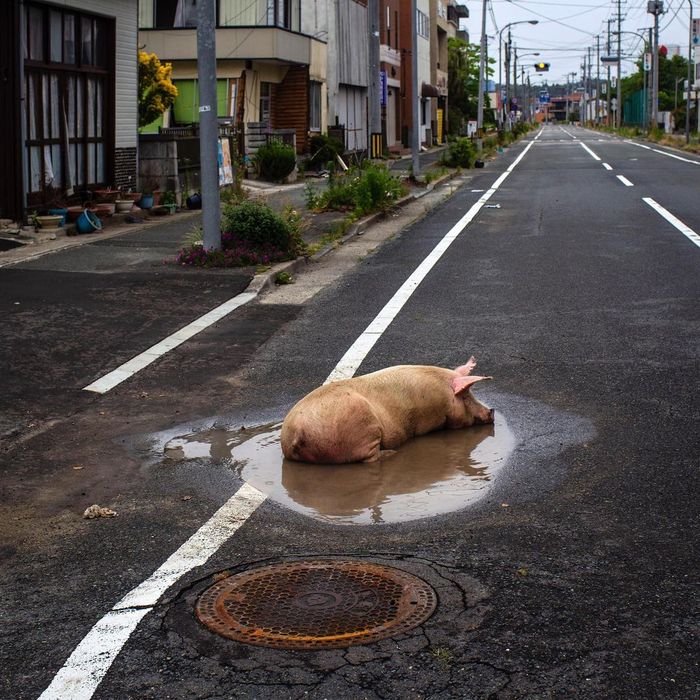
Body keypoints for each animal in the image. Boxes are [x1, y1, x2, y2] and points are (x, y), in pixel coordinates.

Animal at [282, 356, 494, 464]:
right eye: (466, 397)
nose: (491, 411)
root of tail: (296, 433)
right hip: (363, 429)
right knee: (369, 458)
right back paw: (391, 453)